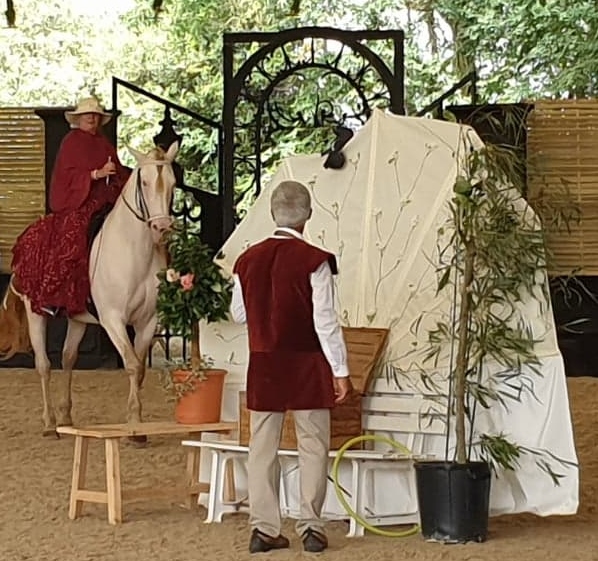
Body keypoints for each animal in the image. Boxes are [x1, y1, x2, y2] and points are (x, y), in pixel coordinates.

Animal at [0, 140, 179, 434]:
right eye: (144, 182)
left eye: (173, 183)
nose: (161, 227)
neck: (133, 251)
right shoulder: (113, 320)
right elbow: (132, 364)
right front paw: (134, 425)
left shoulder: (148, 321)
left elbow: (140, 368)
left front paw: (136, 424)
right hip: (34, 312)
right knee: (43, 364)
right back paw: (49, 423)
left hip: (77, 319)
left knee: (68, 358)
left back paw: (65, 416)